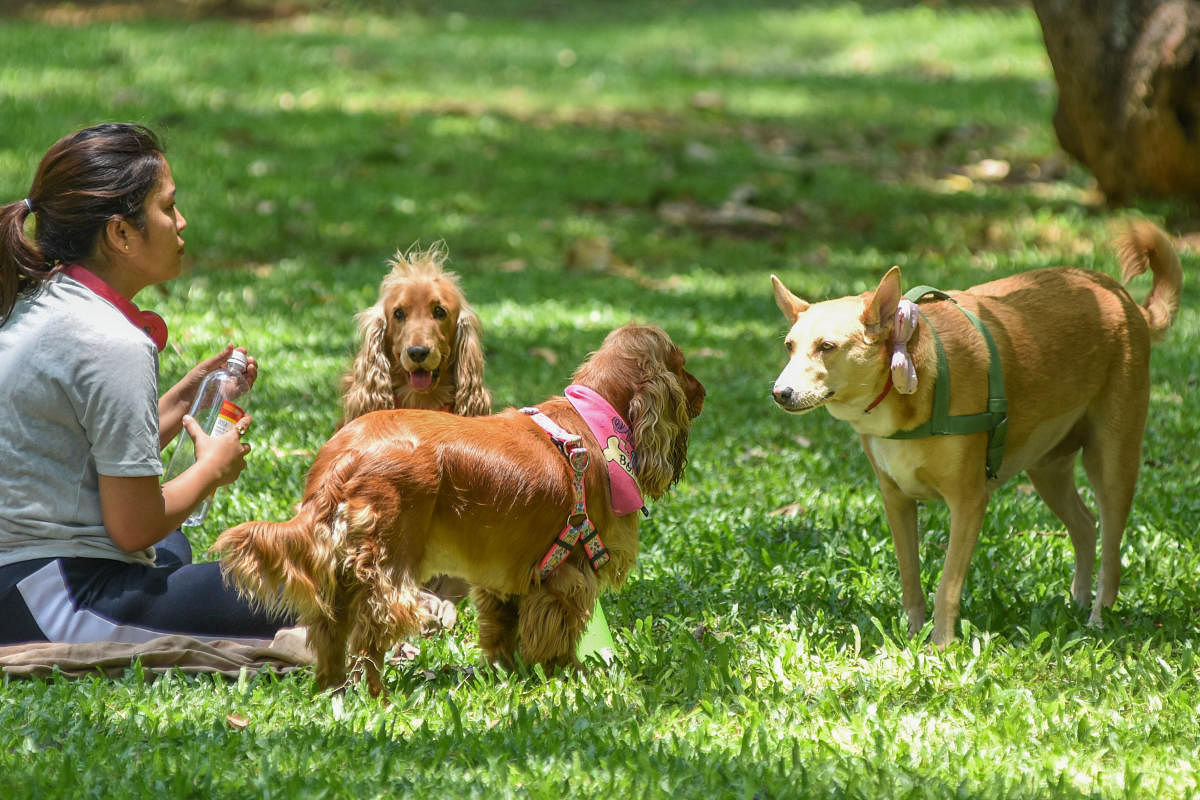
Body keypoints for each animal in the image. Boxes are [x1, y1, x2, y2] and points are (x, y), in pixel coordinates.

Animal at [772, 221, 1176, 647]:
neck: (911, 373)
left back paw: (1098, 619)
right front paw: (912, 637)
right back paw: (1078, 604)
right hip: (1047, 467)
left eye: (827, 347)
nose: (780, 393)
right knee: (1085, 525)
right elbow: (910, 580)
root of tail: (1124, 300)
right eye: (789, 346)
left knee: (1112, 551)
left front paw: (941, 646)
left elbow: (947, 585)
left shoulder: (968, 502)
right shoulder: (896, 500)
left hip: (1113, 462)